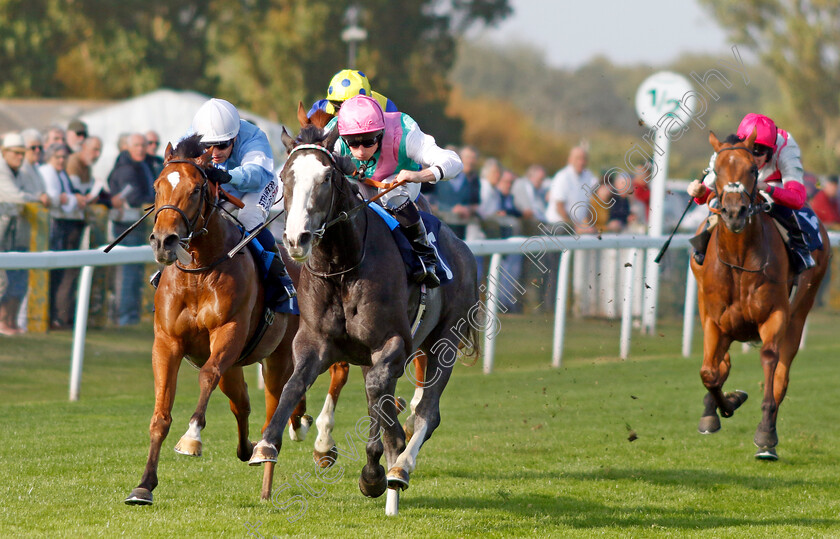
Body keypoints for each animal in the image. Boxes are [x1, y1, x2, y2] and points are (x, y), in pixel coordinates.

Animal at [125, 135, 302, 506]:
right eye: (157, 186)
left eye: (195, 189)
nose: (164, 241)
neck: (198, 272)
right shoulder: (167, 342)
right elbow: (160, 415)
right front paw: (144, 485)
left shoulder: (228, 332)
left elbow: (206, 376)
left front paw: (191, 438)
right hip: (235, 368)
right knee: (242, 404)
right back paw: (248, 448)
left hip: (278, 358)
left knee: (273, 414)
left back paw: (265, 474)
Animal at [248, 124, 480, 516]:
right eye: (283, 176)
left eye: (326, 177)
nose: (296, 239)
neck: (342, 267)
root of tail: (462, 248)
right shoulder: (314, 342)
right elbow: (293, 386)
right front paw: (267, 444)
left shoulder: (392, 344)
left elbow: (379, 401)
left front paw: (376, 471)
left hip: (443, 341)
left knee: (426, 411)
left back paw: (400, 467)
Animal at [688, 131, 828, 460]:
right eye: (716, 171)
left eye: (752, 169)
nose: (734, 212)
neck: (739, 261)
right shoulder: (714, 320)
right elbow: (709, 372)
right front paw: (722, 406)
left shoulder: (775, 316)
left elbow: (769, 362)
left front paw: (765, 435)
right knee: (720, 363)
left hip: (800, 312)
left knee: (781, 376)